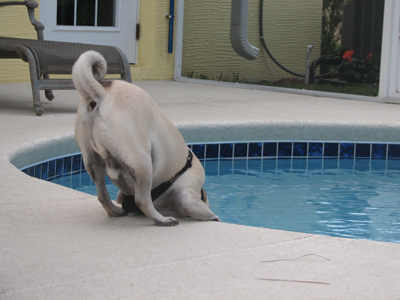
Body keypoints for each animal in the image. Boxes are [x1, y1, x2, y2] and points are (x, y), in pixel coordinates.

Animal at [73, 50, 220, 226]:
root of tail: (102, 91)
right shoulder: (187, 192)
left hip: (92, 162)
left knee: (102, 196)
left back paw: (116, 212)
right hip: (141, 163)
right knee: (142, 200)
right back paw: (162, 220)